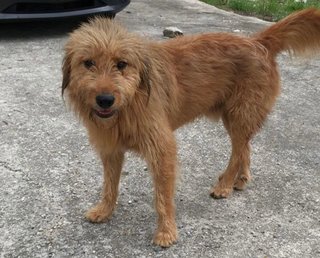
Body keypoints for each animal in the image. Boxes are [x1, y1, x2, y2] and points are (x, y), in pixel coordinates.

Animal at [62, 7, 320, 246]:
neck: (130, 103)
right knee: (245, 147)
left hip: (240, 114)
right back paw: (241, 179)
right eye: (88, 63)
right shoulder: (111, 149)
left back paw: (225, 185)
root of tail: (257, 42)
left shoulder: (162, 149)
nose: (105, 99)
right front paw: (104, 210)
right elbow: (109, 185)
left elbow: (163, 196)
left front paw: (166, 232)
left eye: (122, 64)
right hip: (234, 117)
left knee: (238, 150)